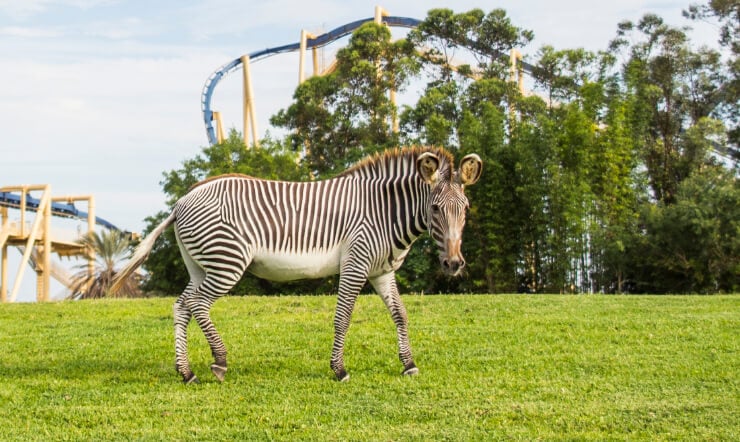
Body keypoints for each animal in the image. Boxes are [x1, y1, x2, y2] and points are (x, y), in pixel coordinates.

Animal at [111, 146, 482, 383]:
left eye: (464, 208)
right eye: (435, 208)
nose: (453, 264)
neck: (384, 211)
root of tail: (182, 201)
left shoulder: (382, 271)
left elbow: (401, 315)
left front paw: (408, 365)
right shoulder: (356, 263)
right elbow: (343, 317)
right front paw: (339, 370)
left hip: (201, 265)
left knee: (181, 306)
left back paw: (186, 372)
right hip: (227, 262)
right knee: (197, 304)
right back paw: (220, 362)